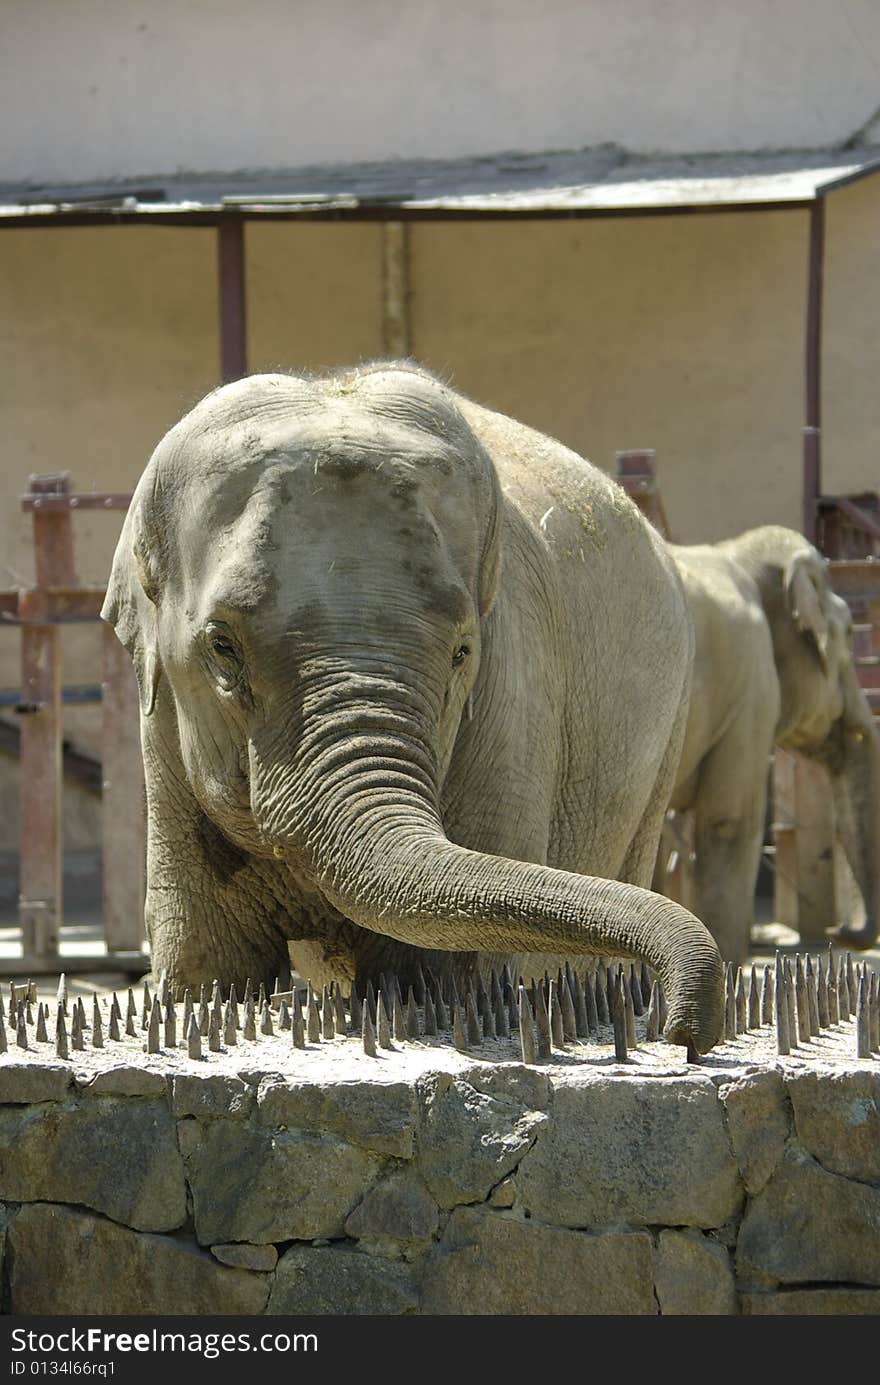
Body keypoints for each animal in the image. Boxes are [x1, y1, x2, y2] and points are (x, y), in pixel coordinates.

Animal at [103, 362, 720, 1052]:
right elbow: (205, 967)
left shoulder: (511, 695)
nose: (686, 1033)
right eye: (221, 646)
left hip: (666, 732)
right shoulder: (161, 732)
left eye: (461, 652)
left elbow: (443, 964)